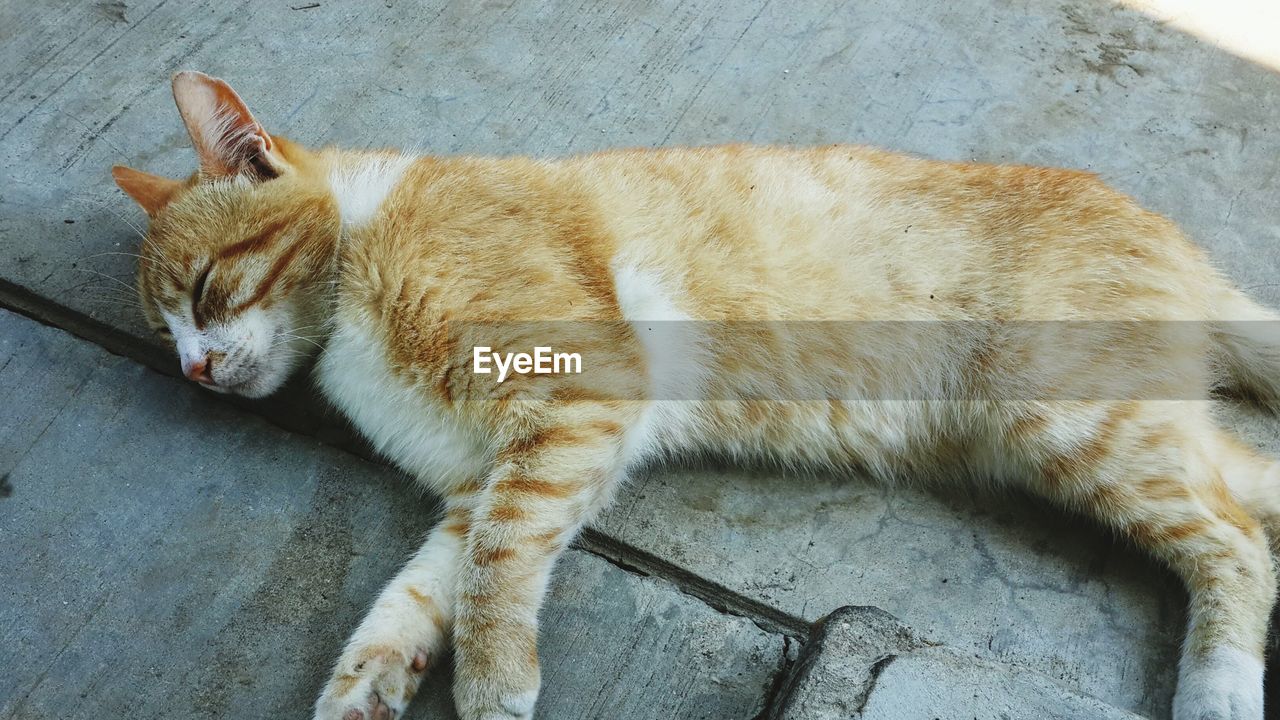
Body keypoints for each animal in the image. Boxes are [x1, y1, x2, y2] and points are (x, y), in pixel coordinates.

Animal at [112, 68, 1280, 717]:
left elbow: (495, 570)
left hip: (1067, 416)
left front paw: (491, 688)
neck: (362, 240)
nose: (195, 372)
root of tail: (1179, 245)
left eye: (206, 292)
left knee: (1233, 539)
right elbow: (420, 589)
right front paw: (366, 686)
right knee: (1252, 491)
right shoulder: (486, 480)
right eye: (162, 330)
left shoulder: (571, 407)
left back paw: (1218, 689)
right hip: (1115, 423)